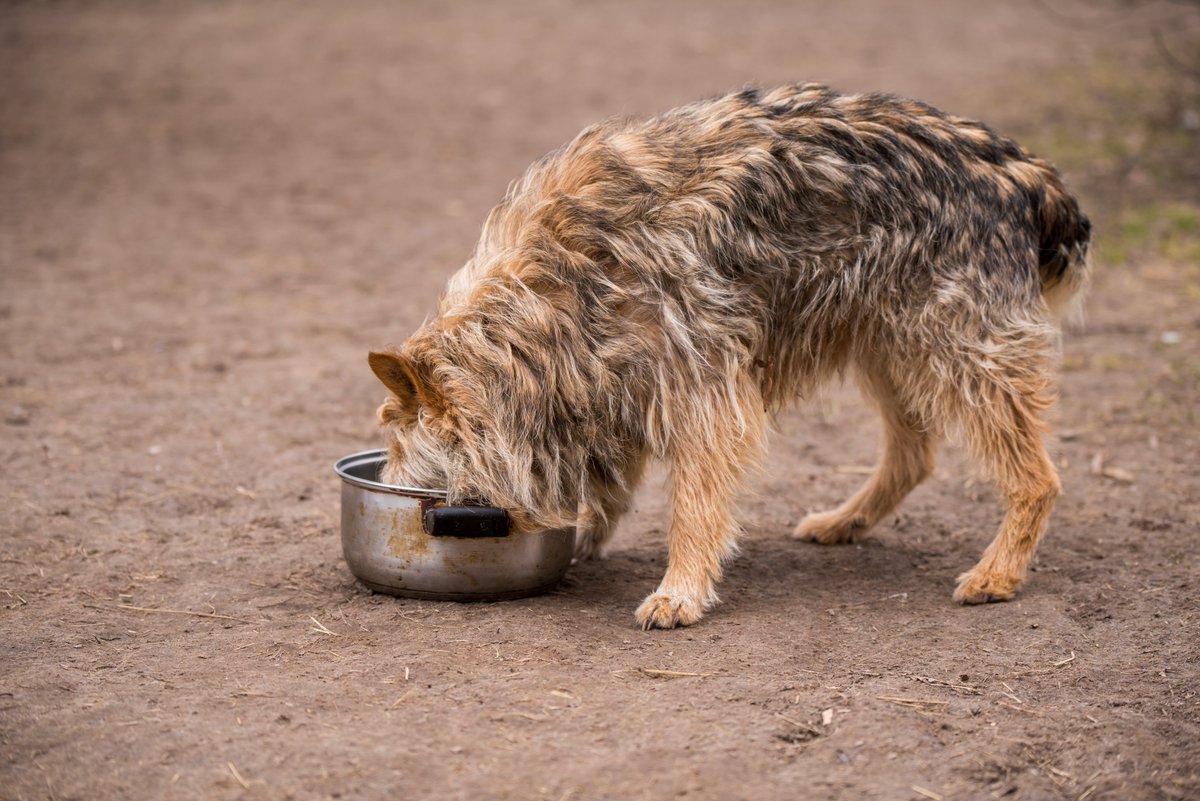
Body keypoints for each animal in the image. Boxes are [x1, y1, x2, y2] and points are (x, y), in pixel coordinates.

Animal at [364, 82, 1089, 633]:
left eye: (404, 466)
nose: (401, 495)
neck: (549, 294)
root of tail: (1028, 176)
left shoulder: (704, 389)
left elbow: (693, 505)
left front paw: (680, 589)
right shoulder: (616, 379)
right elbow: (613, 480)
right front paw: (591, 535)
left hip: (959, 352)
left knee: (1038, 477)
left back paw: (998, 572)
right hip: (887, 343)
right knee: (915, 454)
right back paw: (845, 521)